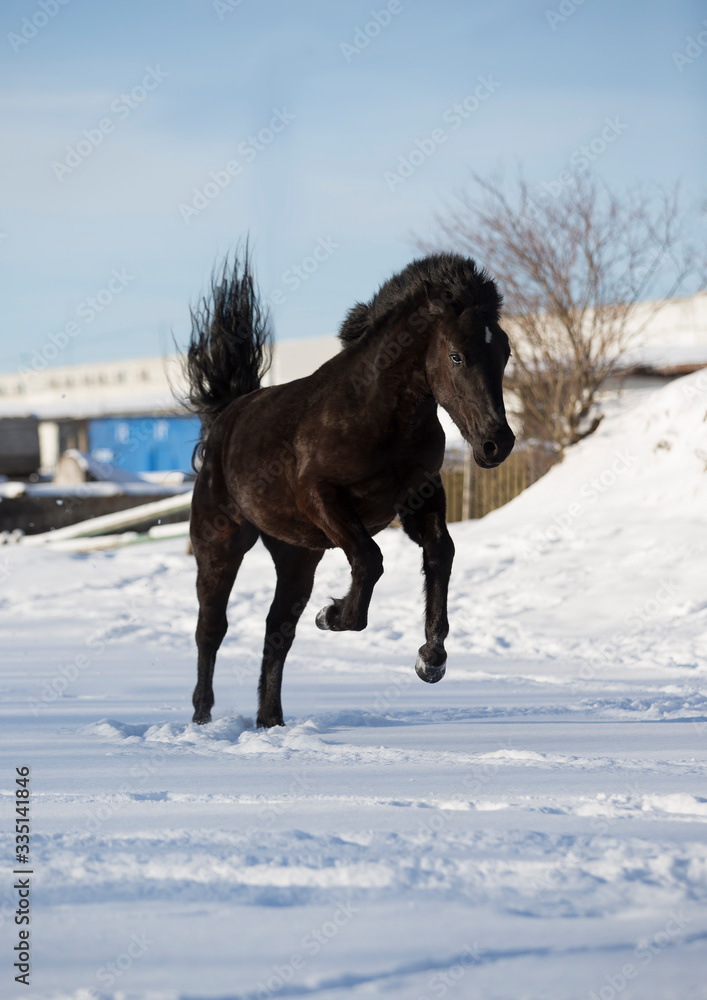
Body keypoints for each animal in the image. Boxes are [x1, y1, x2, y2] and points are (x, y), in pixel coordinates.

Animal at [185, 248, 515, 727]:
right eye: (456, 355)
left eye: (504, 352)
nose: (497, 443)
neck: (377, 412)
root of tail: (225, 418)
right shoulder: (322, 498)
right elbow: (370, 559)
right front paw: (333, 614)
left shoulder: (420, 496)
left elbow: (440, 552)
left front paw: (431, 659)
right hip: (220, 545)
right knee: (211, 629)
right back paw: (202, 719)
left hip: (298, 554)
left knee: (276, 629)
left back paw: (270, 720)